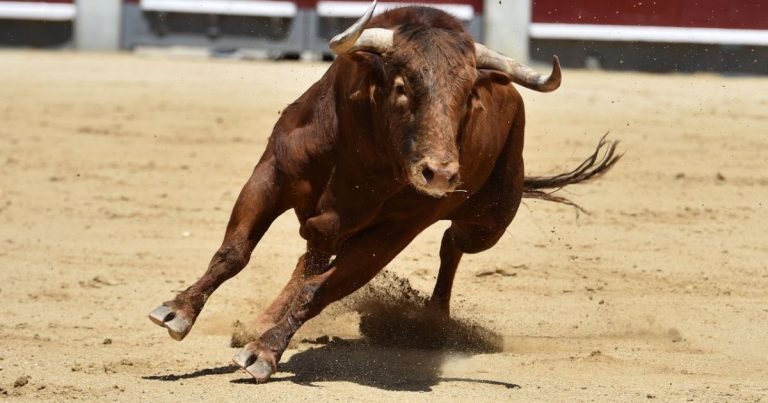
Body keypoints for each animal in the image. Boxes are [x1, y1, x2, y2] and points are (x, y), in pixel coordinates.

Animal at [147, 0, 620, 386]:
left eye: (469, 97)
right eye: (402, 86)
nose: (441, 174)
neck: (362, 150)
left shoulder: (391, 234)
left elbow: (318, 289)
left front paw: (264, 351)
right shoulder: (271, 174)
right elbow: (234, 252)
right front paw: (177, 310)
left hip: (489, 221)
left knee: (451, 245)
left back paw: (433, 321)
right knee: (313, 254)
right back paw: (257, 319)